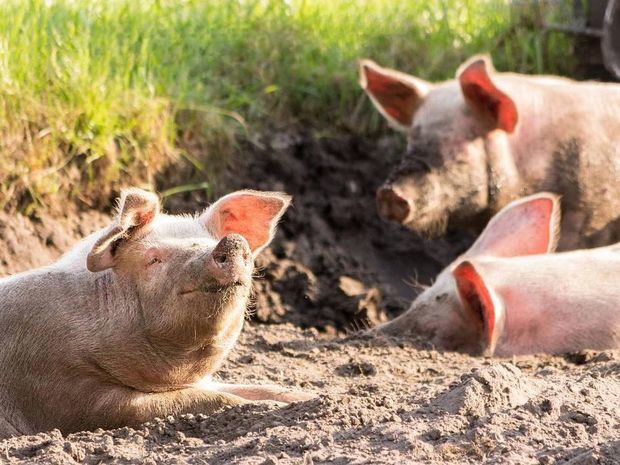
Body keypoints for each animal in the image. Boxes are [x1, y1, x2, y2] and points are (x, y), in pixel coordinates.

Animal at [0, 187, 312, 436]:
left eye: (210, 241)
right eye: (154, 259)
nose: (233, 241)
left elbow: (254, 388)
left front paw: (310, 396)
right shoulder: (63, 391)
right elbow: (203, 400)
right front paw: (268, 406)